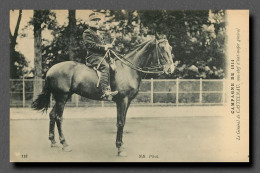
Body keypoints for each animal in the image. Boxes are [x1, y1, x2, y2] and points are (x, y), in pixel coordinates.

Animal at [32, 36, 175, 155]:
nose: (171, 69)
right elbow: (120, 122)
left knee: (52, 115)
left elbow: (123, 121)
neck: (128, 69)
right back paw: (65, 144)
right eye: (162, 48)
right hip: (61, 97)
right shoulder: (122, 100)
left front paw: (121, 144)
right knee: (58, 117)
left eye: (171, 48)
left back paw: (53, 142)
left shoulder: (127, 102)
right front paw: (119, 148)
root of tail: (50, 70)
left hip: (63, 97)